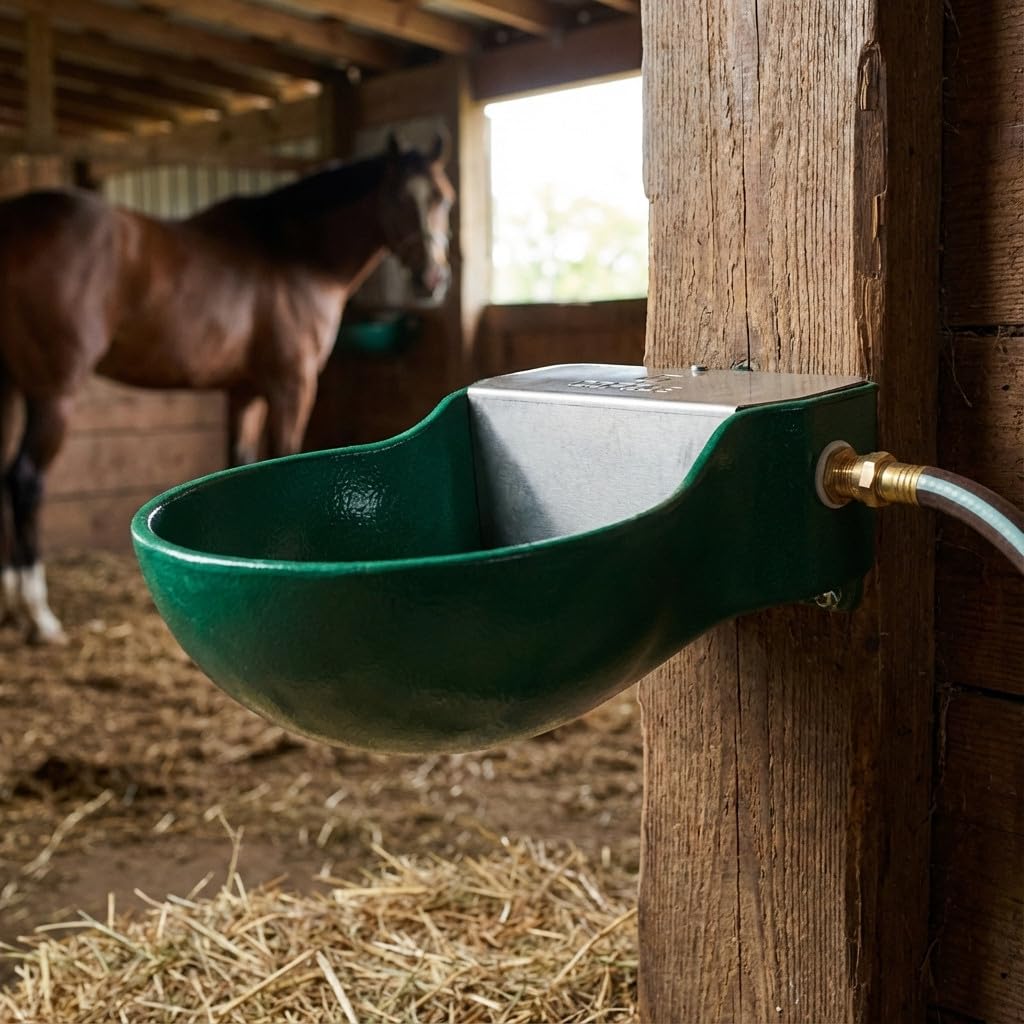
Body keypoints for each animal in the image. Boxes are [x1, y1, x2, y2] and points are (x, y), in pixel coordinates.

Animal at [0, 134, 455, 644]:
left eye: (444, 198)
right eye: (397, 198)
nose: (432, 279)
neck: (295, 254)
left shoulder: (244, 393)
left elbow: (241, 463)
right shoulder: (291, 386)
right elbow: (284, 458)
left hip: (5, 389)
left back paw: (11, 607)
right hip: (52, 393)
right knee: (25, 480)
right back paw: (38, 614)